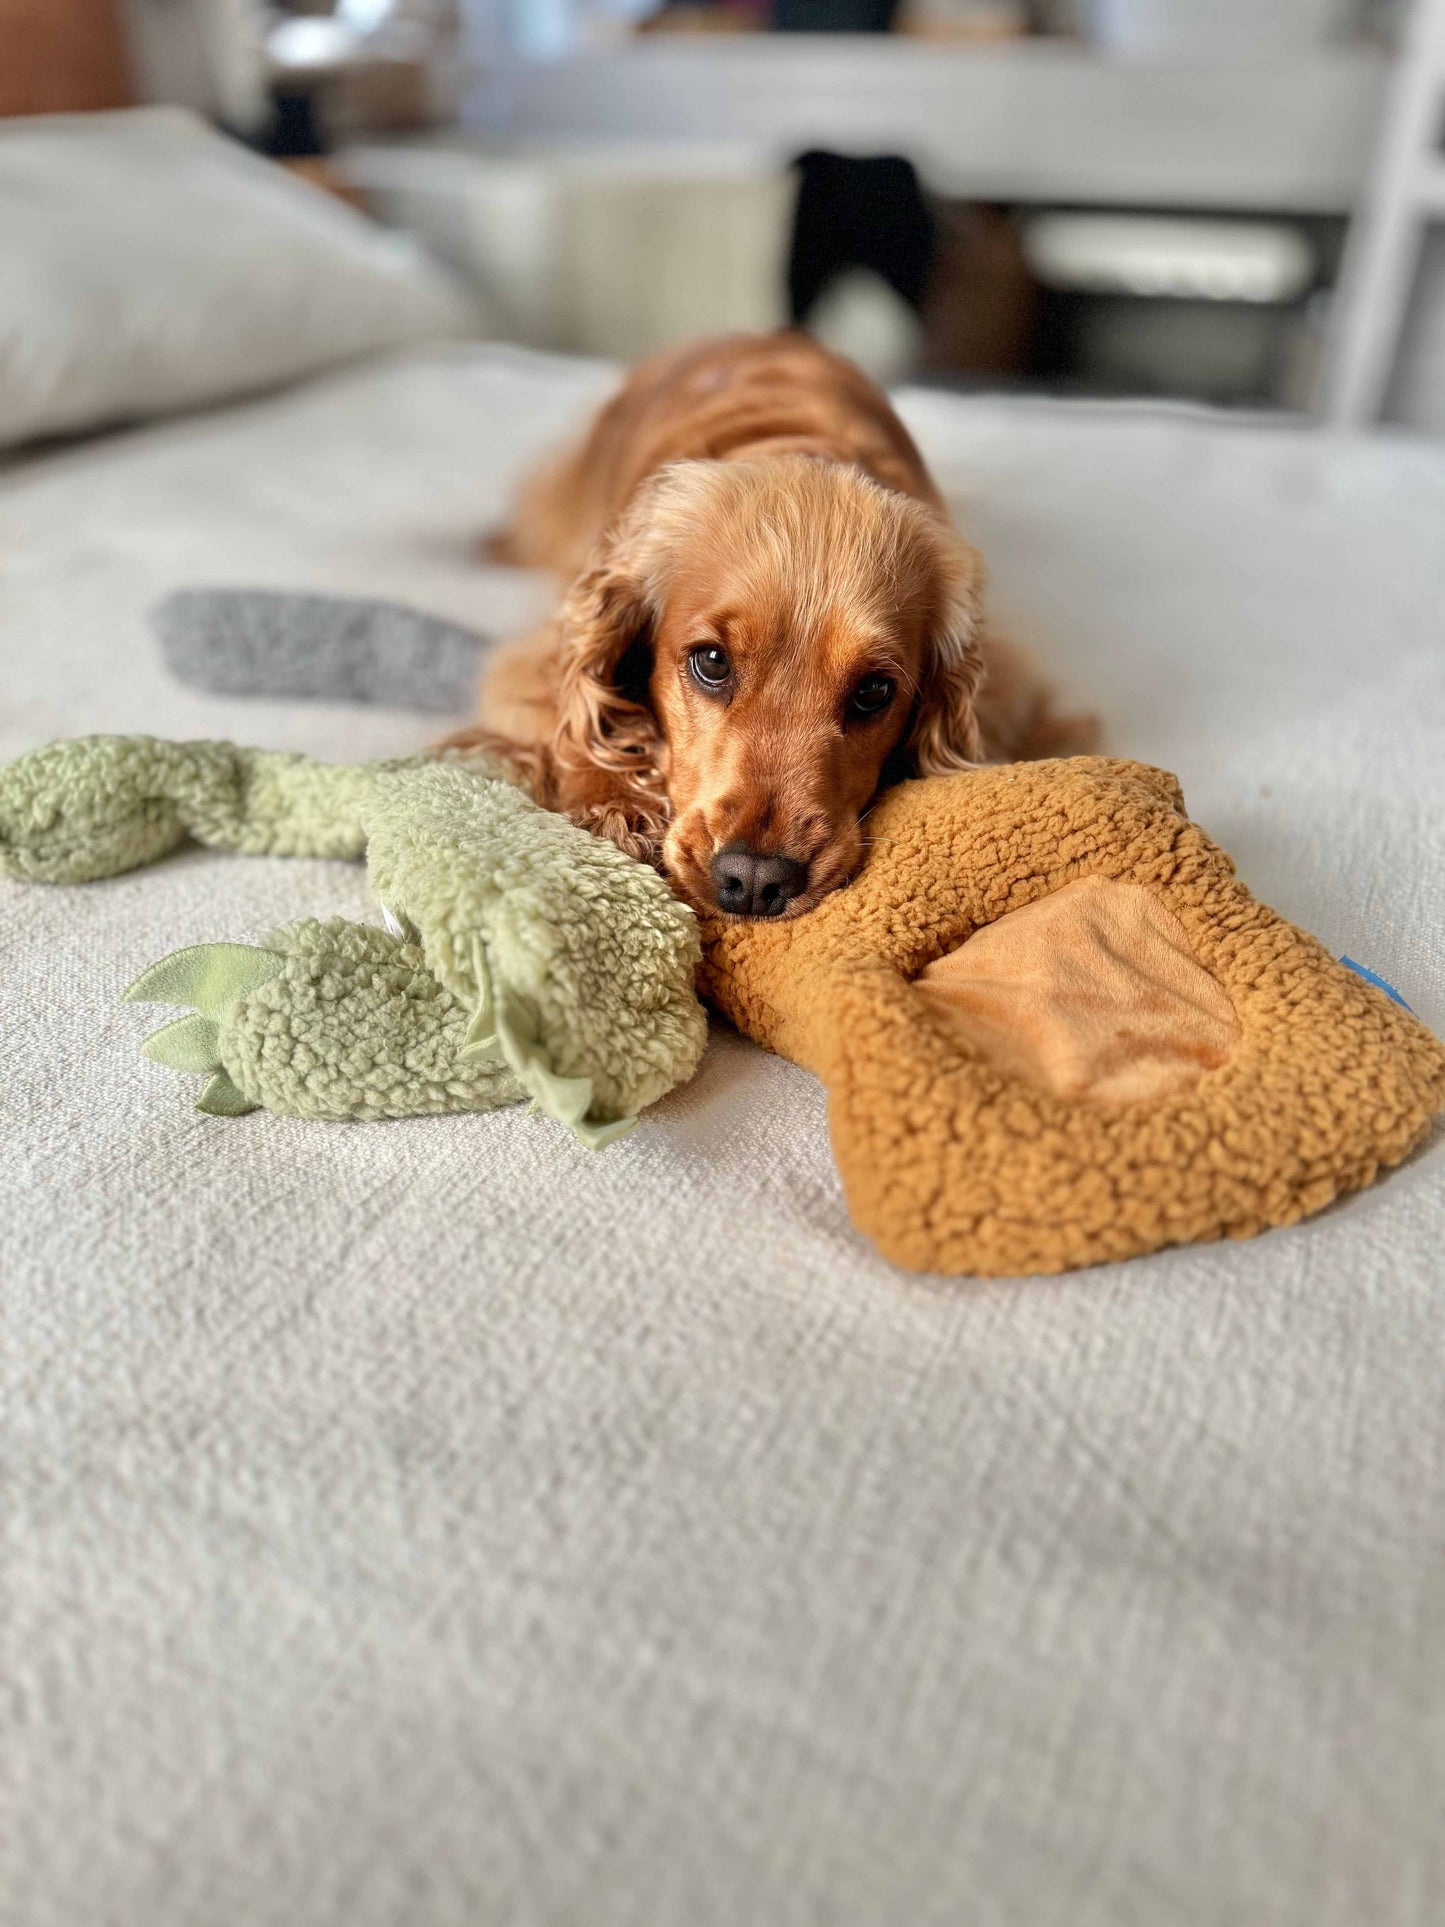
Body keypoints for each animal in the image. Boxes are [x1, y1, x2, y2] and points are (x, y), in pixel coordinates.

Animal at [448, 331, 1087, 920]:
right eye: (711, 662)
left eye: (874, 691)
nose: (755, 881)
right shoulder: (534, 661)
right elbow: (573, 723)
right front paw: (613, 804)